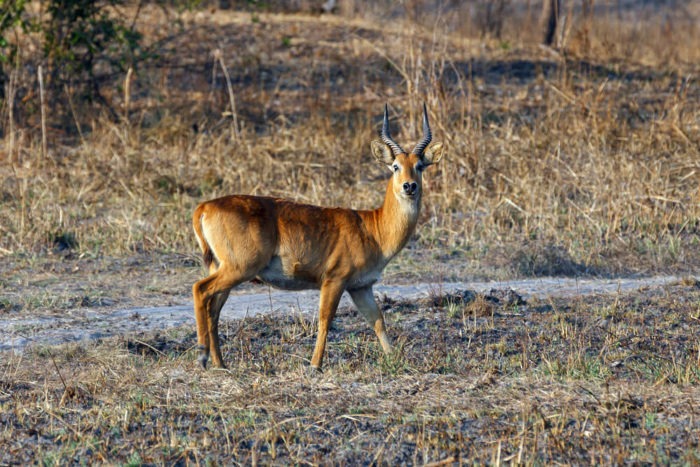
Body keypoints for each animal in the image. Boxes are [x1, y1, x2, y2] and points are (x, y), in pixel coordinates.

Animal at [191, 104, 442, 372]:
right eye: (395, 166)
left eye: (420, 165)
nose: (409, 186)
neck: (373, 228)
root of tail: (205, 207)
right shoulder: (334, 279)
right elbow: (325, 319)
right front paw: (315, 365)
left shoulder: (361, 286)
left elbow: (377, 320)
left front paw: (396, 360)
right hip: (239, 268)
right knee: (200, 290)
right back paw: (202, 356)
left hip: (225, 268)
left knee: (213, 309)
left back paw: (220, 364)